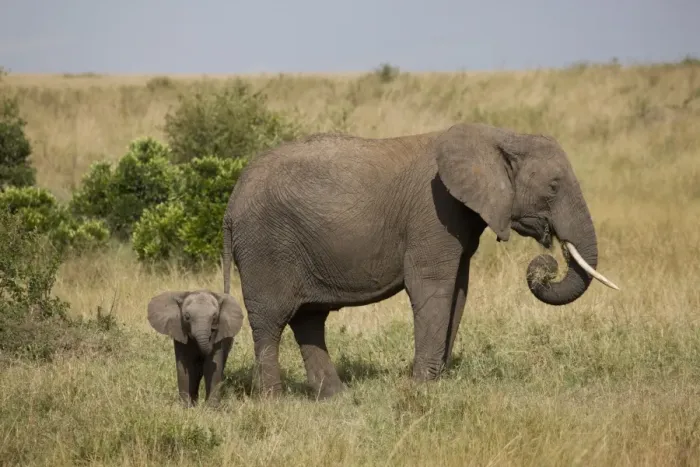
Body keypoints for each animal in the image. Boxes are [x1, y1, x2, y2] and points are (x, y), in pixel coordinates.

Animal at [221, 122, 619, 400]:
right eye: (553, 187)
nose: (547, 263)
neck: (499, 136)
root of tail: (231, 200)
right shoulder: (434, 212)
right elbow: (432, 289)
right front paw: (423, 386)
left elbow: (459, 293)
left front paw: (437, 380)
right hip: (265, 245)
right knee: (271, 320)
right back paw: (274, 401)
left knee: (309, 319)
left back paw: (337, 398)